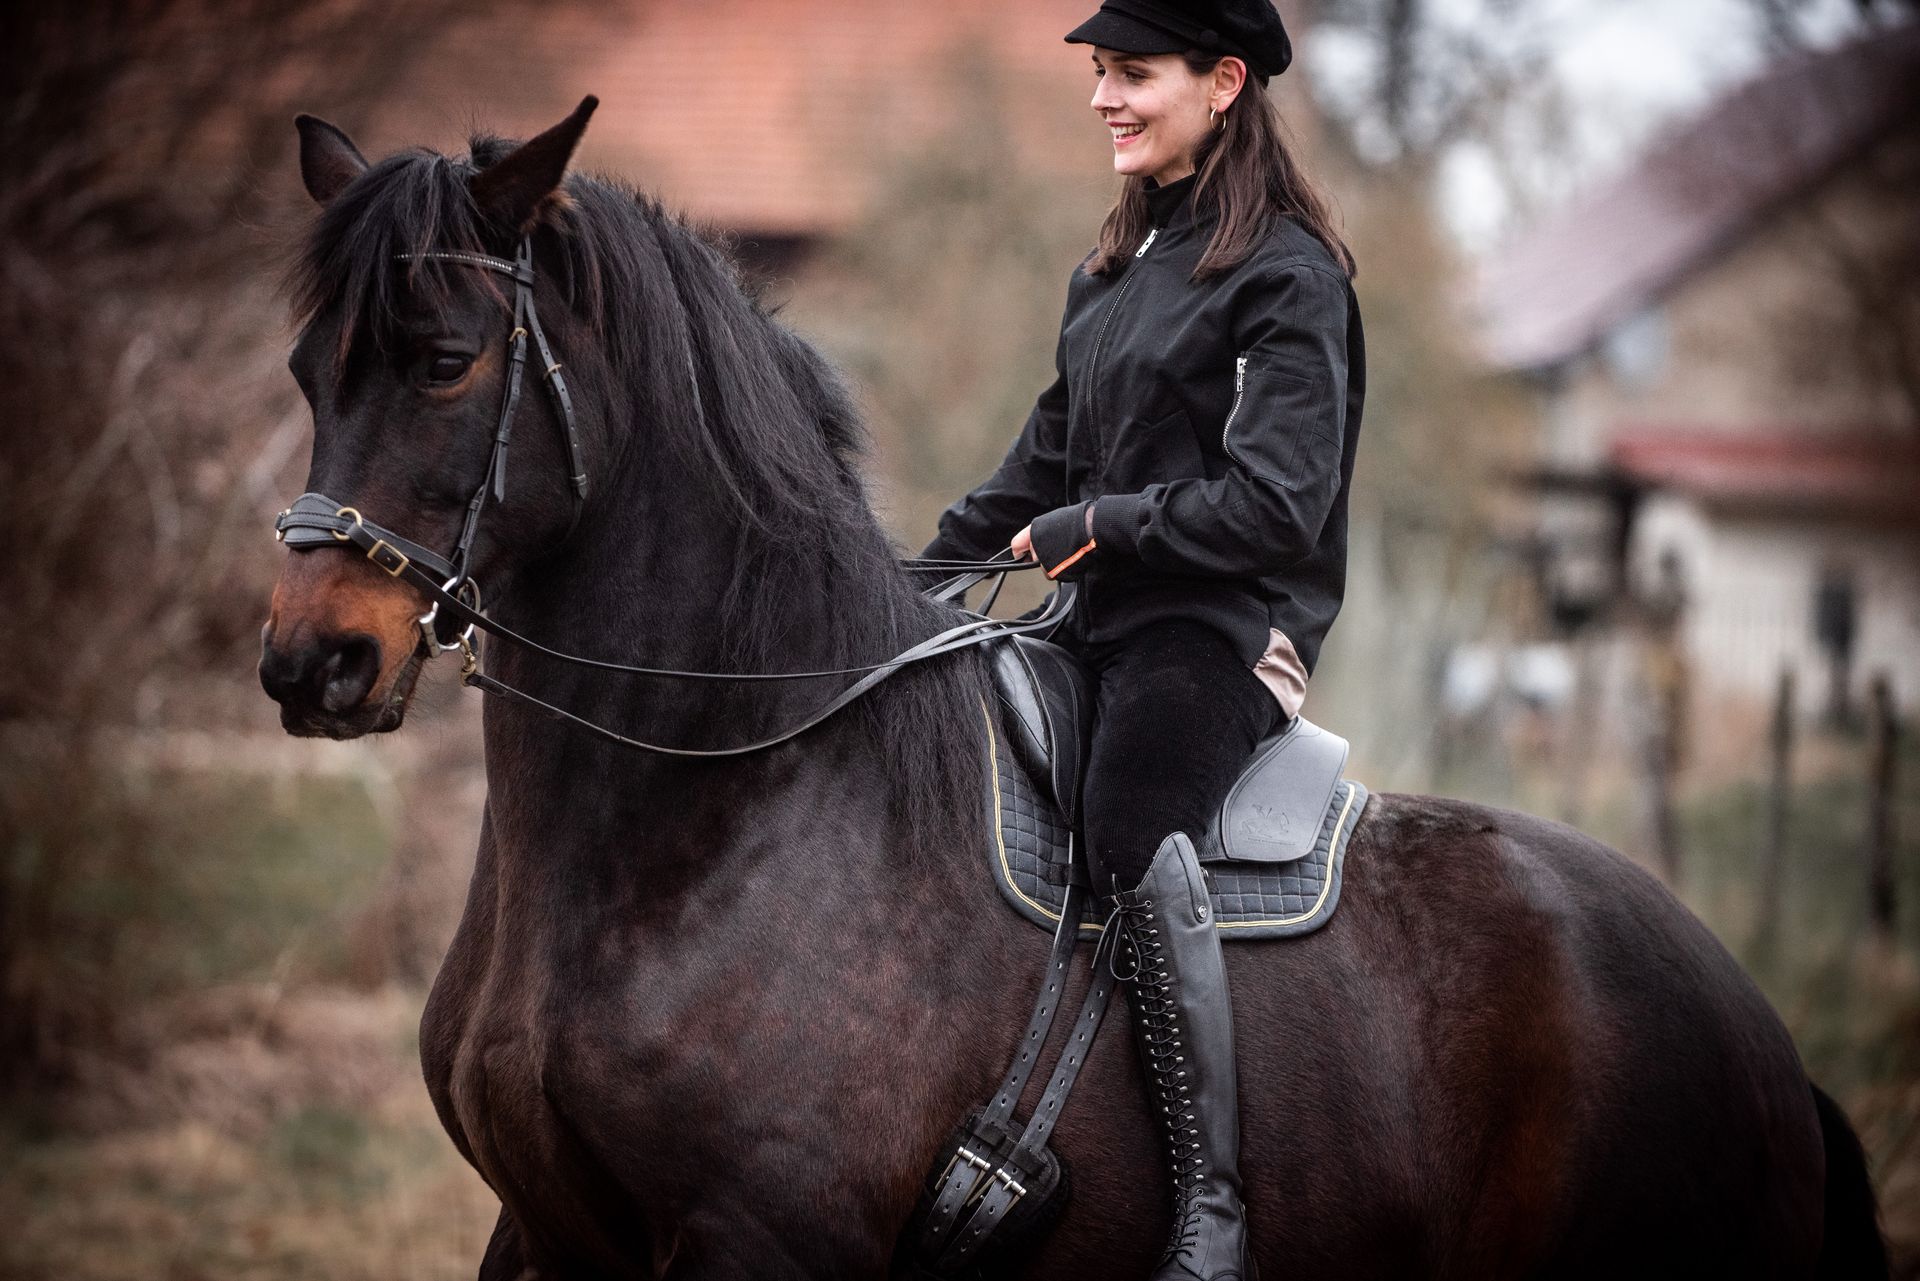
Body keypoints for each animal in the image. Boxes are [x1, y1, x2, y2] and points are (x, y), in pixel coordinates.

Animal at [258, 99, 1885, 1280]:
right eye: (303, 371)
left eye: (448, 359)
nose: (309, 661)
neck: (728, 802)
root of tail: (1758, 1037)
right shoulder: (542, 1231)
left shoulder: (755, 1242)